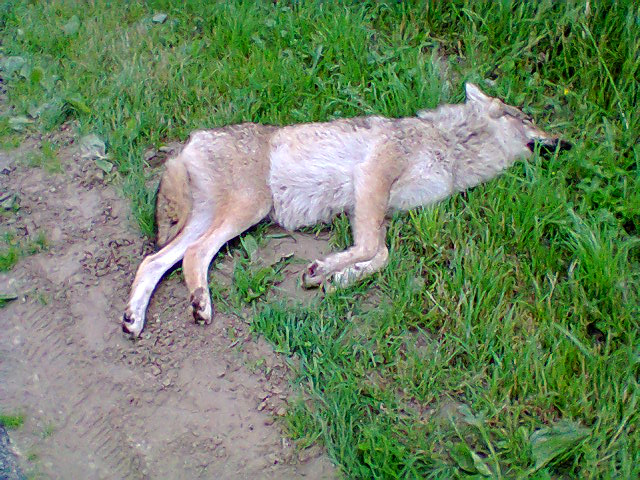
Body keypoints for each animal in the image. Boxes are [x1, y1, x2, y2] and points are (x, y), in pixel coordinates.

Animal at [122, 83, 569, 337]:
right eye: (528, 118)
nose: (566, 143)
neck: (453, 146)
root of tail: (191, 140)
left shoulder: (381, 207)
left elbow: (382, 255)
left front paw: (337, 278)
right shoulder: (373, 178)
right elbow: (374, 249)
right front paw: (325, 269)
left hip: (213, 218)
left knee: (154, 261)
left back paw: (135, 320)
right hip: (248, 209)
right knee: (192, 256)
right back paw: (200, 305)